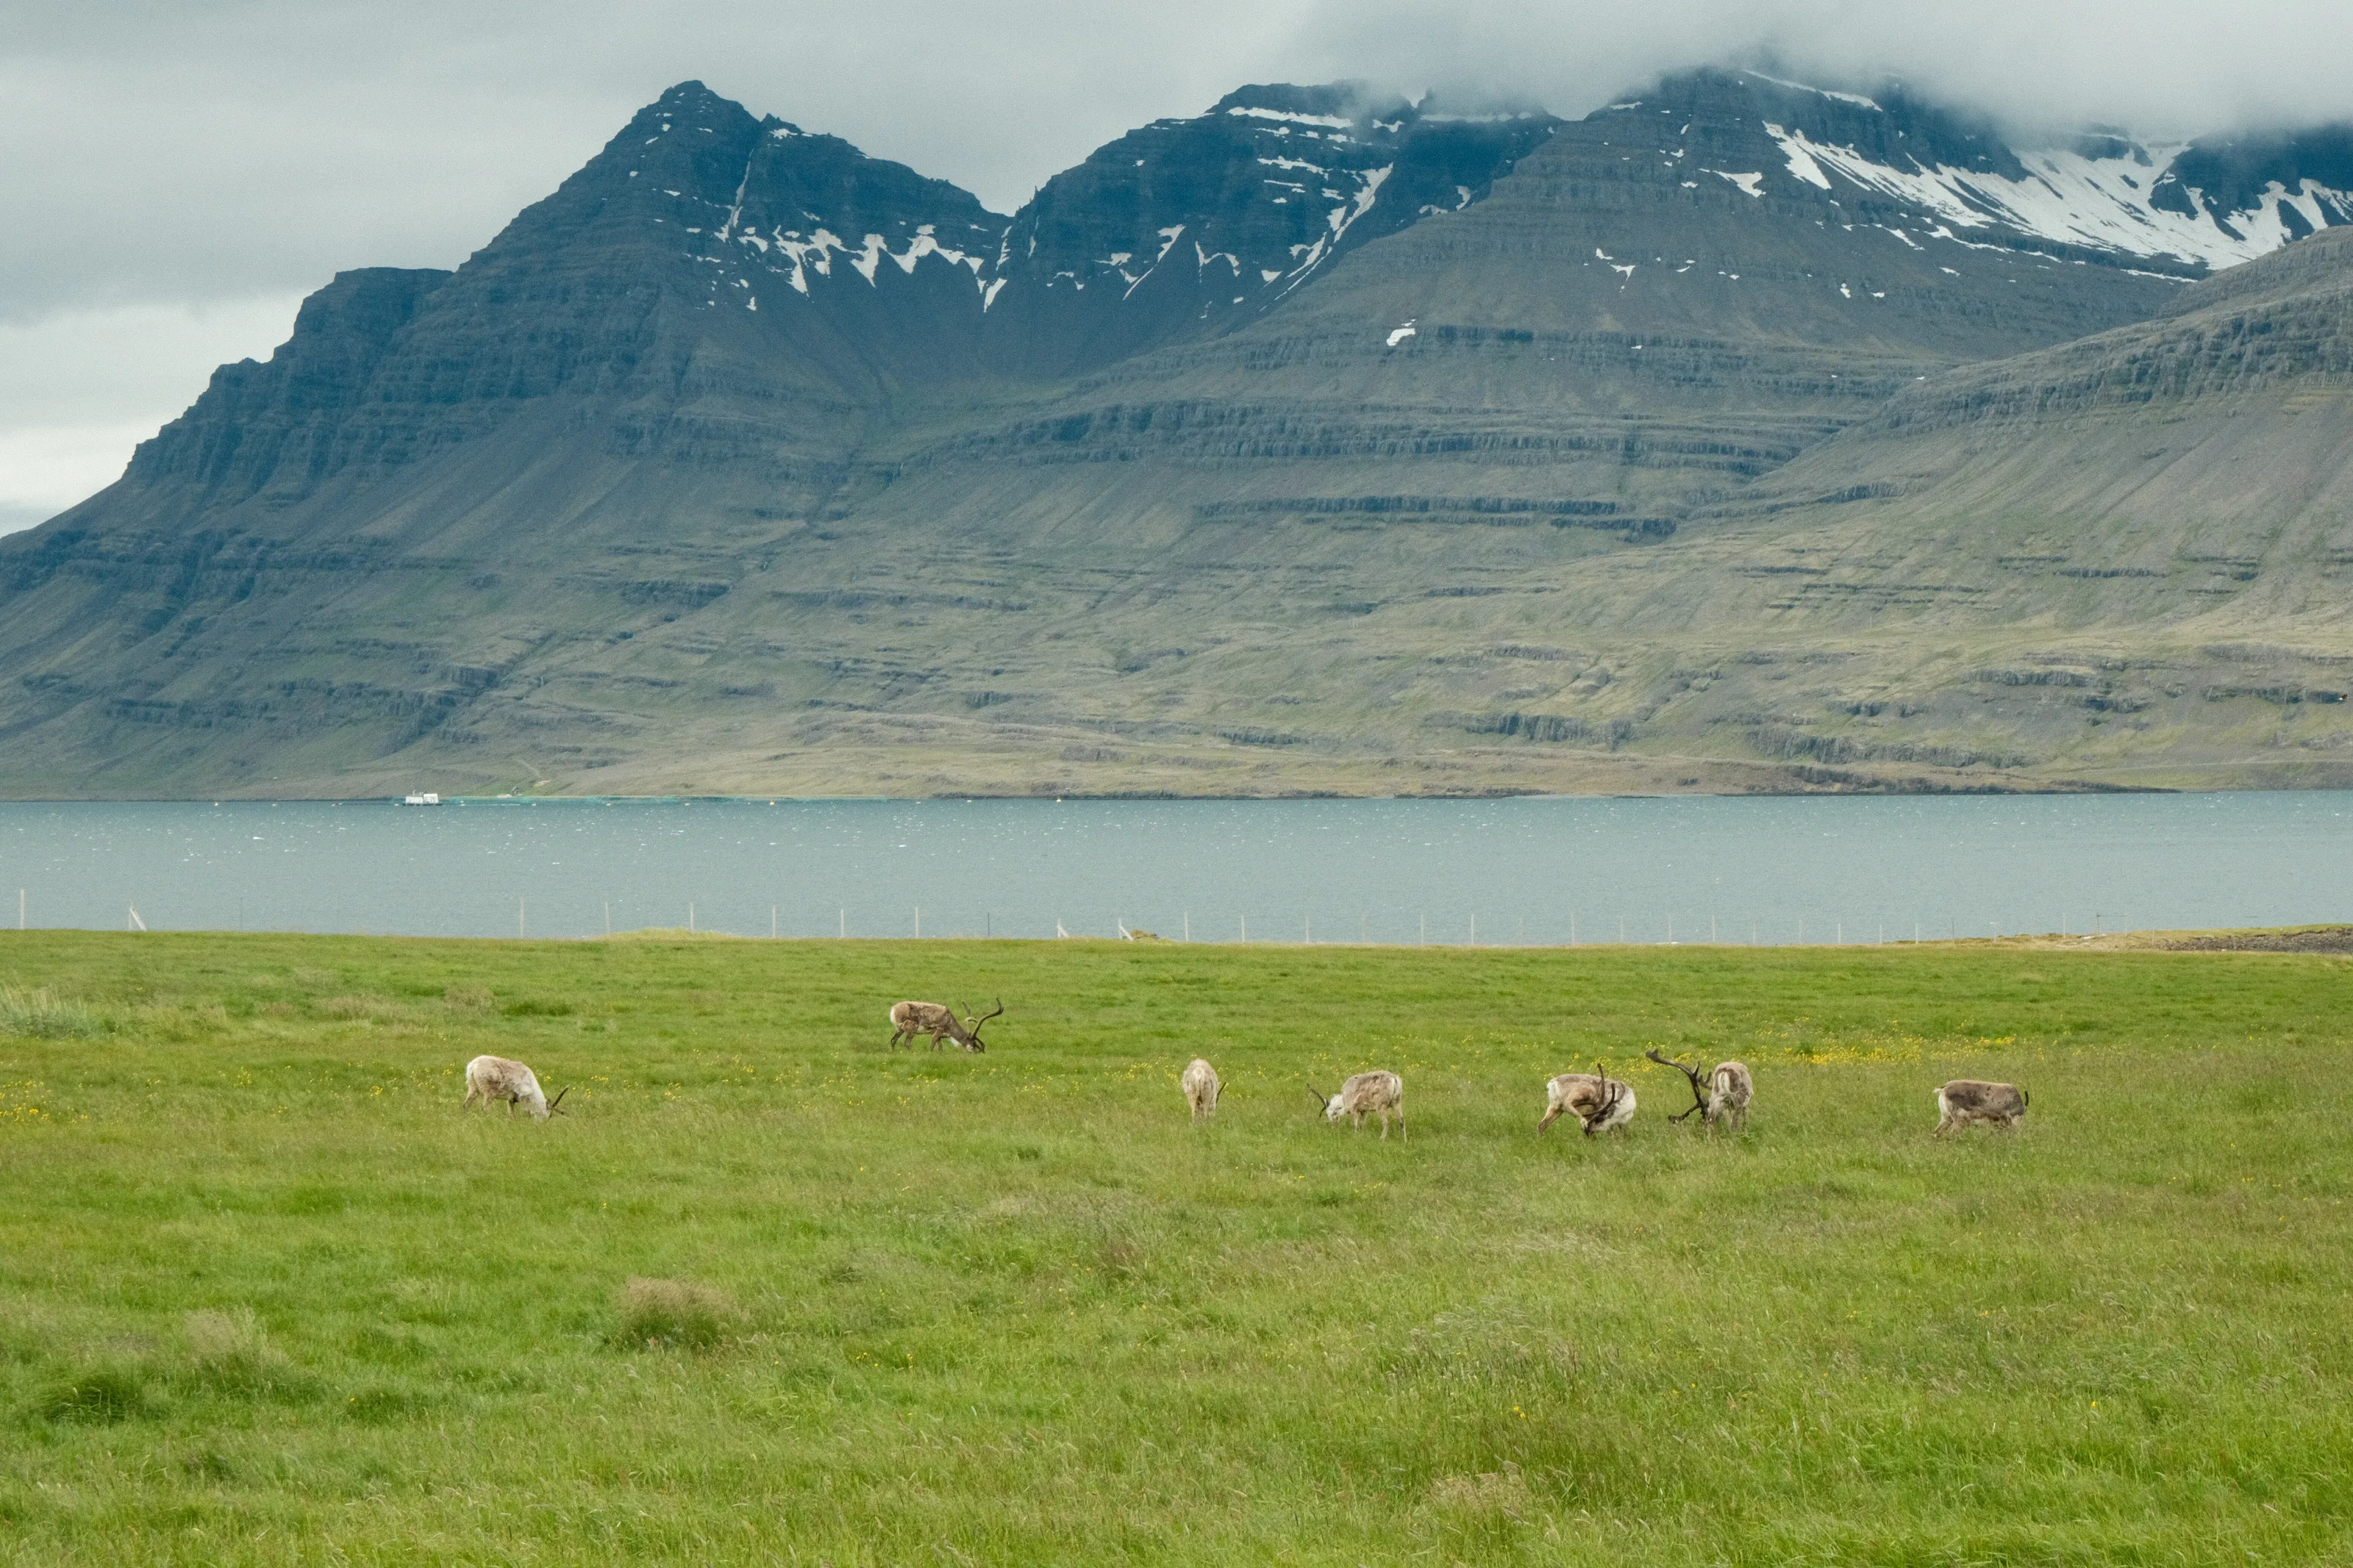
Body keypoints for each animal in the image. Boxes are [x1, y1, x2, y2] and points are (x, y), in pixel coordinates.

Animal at [462, 1055, 568, 1121]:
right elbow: (526, 1112)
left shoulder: (511, 1099)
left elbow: (512, 1114)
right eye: (550, 1115)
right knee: (484, 1108)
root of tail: (473, 1067)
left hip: (473, 1088)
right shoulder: (523, 1097)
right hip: (489, 1092)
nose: (543, 1124)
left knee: (466, 1104)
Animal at [887, 998, 1003, 1052]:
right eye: (973, 1044)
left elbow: (940, 1048)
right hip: (911, 1029)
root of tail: (894, 1009)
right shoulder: (938, 1031)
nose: (975, 1052)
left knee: (893, 1040)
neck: (950, 1020)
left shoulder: (940, 1037)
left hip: (899, 1029)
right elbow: (932, 1046)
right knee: (907, 1043)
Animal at [1539, 1063, 1636, 1136]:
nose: (1587, 1133)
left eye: (1599, 1119)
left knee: (1542, 1125)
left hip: (1556, 1107)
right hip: (1585, 1090)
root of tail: (1554, 1082)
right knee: (1567, 1103)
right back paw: (1583, 1121)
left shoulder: (1621, 1122)